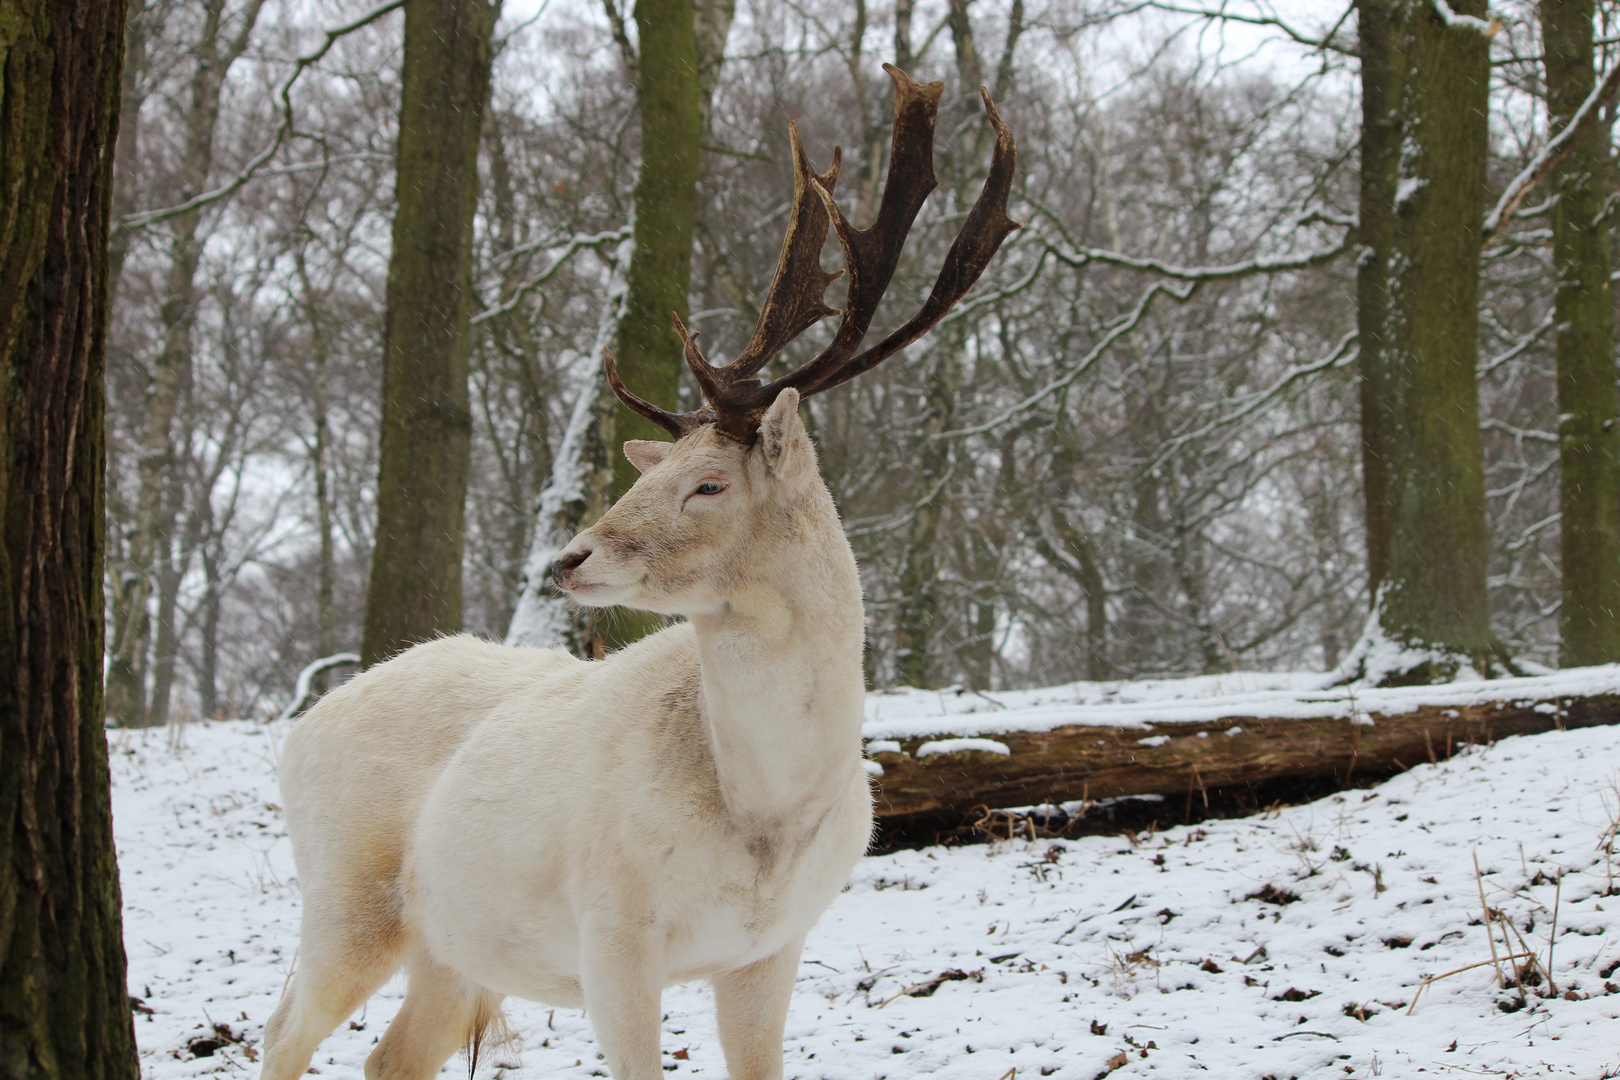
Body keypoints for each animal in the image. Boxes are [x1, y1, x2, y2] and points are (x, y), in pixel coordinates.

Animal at [259, 65, 1017, 1080]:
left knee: (390, 1057)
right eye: (647, 473)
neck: (765, 821)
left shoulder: (773, 947)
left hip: (453, 946)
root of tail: (300, 731)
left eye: (707, 482)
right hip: (345, 895)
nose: (570, 556)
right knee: (281, 1030)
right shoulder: (612, 933)